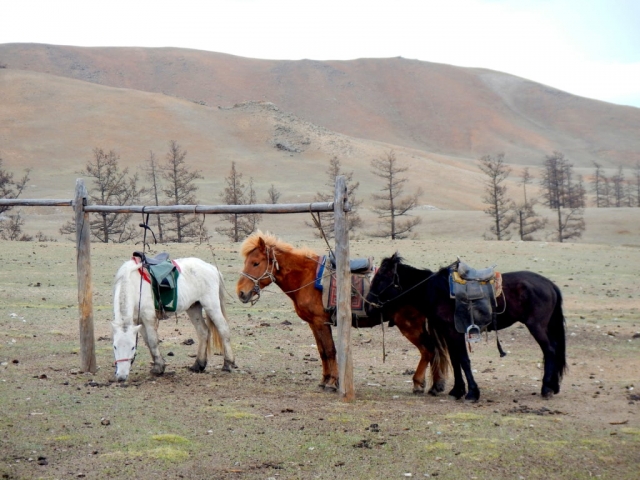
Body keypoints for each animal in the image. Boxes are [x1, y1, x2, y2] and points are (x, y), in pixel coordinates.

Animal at [235, 232, 450, 394]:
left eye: (255, 263)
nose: (241, 293)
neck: (306, 276)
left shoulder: (321, 322)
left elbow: (330, 351)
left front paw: (332, 383)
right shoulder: (314, 324)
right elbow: (322, 352)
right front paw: (324, 380)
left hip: (409, 325)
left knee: (428, 350)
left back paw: (418, 384)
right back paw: (435, 385)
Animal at [364, 255, 564, 402]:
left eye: (381, 277)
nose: (368, 305)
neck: (436, 292)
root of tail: (550, 284)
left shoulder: (455, 332)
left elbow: (464, 360)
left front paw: (472, 392)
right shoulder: (448, 333)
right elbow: (455, 360)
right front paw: (457, 390)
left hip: (536, 326)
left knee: (550, 350)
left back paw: (546, 388)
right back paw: (553, 386)